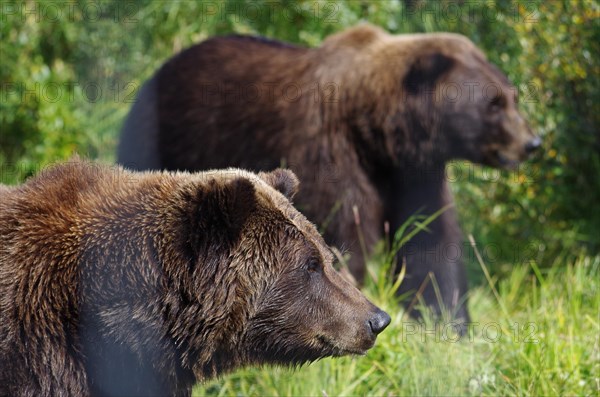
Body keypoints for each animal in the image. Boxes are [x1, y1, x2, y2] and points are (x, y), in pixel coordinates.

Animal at [117, 23, 540, 328]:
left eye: (512, 96)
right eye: (494, 103)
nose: (532, 142)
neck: (375, 132)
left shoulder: (416, 174)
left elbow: (430, 243)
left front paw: (447, 323)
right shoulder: (329, 154)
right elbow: (343, 237)